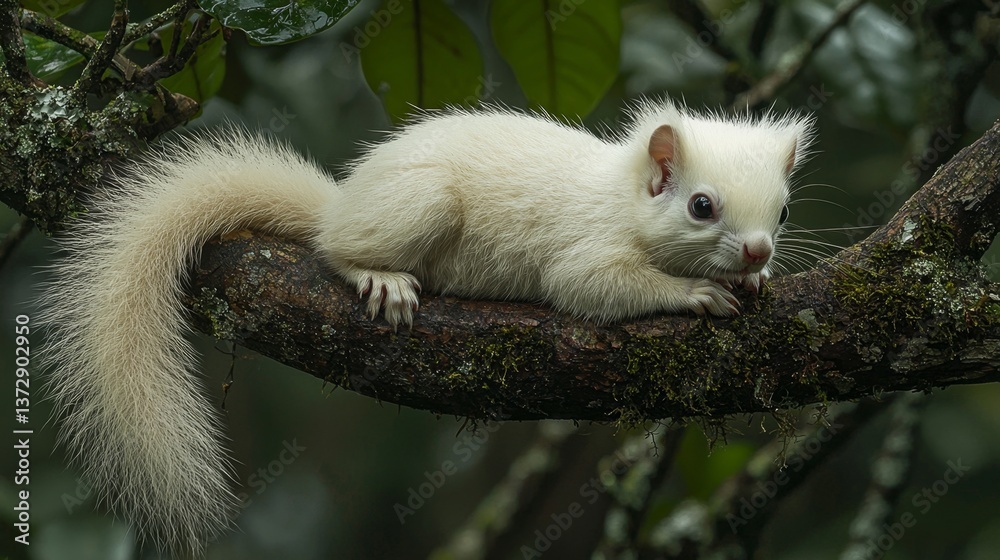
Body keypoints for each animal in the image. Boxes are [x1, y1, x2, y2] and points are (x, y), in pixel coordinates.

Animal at [39, 99, 814, 554]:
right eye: (701, 206)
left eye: (781, 211)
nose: (758, 251)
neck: (623, 197)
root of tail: (342, 204)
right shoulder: (585, 253)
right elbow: (597, 287)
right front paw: (697, 294)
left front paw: (750, 283)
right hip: (419, 204)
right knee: (336, 250)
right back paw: (376, 274)